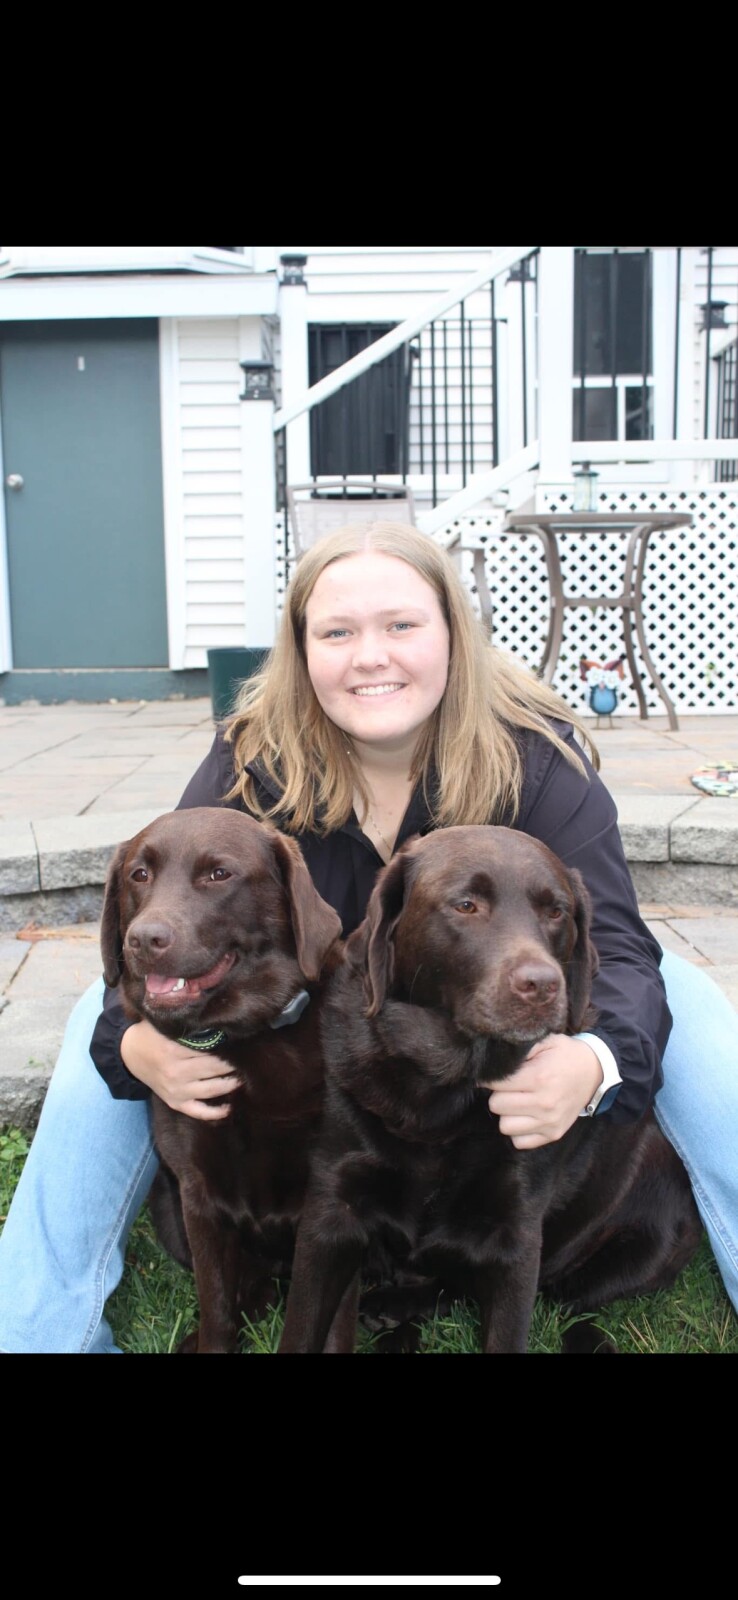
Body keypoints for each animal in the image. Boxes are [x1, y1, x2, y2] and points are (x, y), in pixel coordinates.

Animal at [100, 808, 343, 1353]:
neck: (245, 1037)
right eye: (139, 875)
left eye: (218, 874)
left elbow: (328, 1326)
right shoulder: (198, 1197)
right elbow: (216, 1308)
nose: (143, 940)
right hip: (168, 1210)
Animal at [279, 825, 702, 1353]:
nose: (542, 986)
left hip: (643, 1245)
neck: (442, 1092)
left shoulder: (514, 1237)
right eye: (466, 905)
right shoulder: (331, 1213)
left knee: (557, 1304)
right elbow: (301, 1326)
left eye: (556, 911)